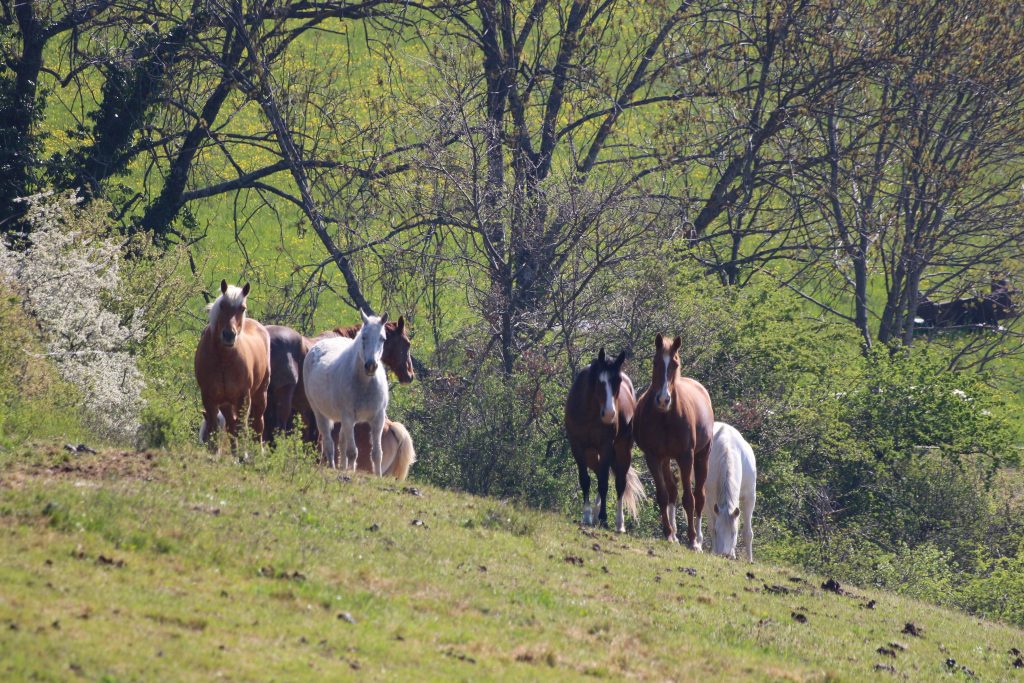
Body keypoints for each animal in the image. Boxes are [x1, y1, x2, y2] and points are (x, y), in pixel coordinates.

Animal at [193, 278, 270, 448]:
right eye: (222, 305)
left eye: (242, 308)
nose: (229, 335)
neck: (223, 360)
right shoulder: (209, 399)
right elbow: (214, 430)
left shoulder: (243, 398)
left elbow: (243, 429)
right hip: (226, 404)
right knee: (231, 426)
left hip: (260, 396)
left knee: (257, 427)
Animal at [301, 311, 389, 475]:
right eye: (363, 337)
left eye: (382, 338)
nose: (371, 366)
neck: (365, 384)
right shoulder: (348, 417)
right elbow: (352, 451)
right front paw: (351, 472)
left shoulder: (378, 418)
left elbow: (377, 453)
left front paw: (378, 475)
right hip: (320, 414)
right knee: (329, 443)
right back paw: (333, 466)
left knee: (341, 442)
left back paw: (342, 467)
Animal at [565, 348, 643, 532]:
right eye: (599, 381)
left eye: (618, 381)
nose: (609, 414)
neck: (588, 411)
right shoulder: (577, 446)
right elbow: (585, 480)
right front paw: (587, 515)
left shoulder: (606, 446)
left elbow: (604, 483)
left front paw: (603, 518)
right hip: (592, 454)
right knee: (600, 472)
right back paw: (594, 512)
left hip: (622, 449)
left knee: (620, 482)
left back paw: (619, 523)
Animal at [630, 333, 712, 548]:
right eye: (655, 362)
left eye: (675, 364)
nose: (663, 399)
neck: (665, 417)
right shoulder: (653, 457)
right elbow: (663, 495)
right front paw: (668, 533)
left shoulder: (686, 456)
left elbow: (689, 499)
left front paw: (692, 540)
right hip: (666, 459)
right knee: (673, 490)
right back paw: (674, 534)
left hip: (702, 456)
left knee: (699, 496)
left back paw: (699, 539)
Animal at [708, 421, 757, 561]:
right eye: (717, 531)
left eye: (734, 533)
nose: (725, 555)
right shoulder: (710, 497)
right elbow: (711, 525)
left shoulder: (750, 497)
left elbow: (747, 532)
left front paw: (749, 560)